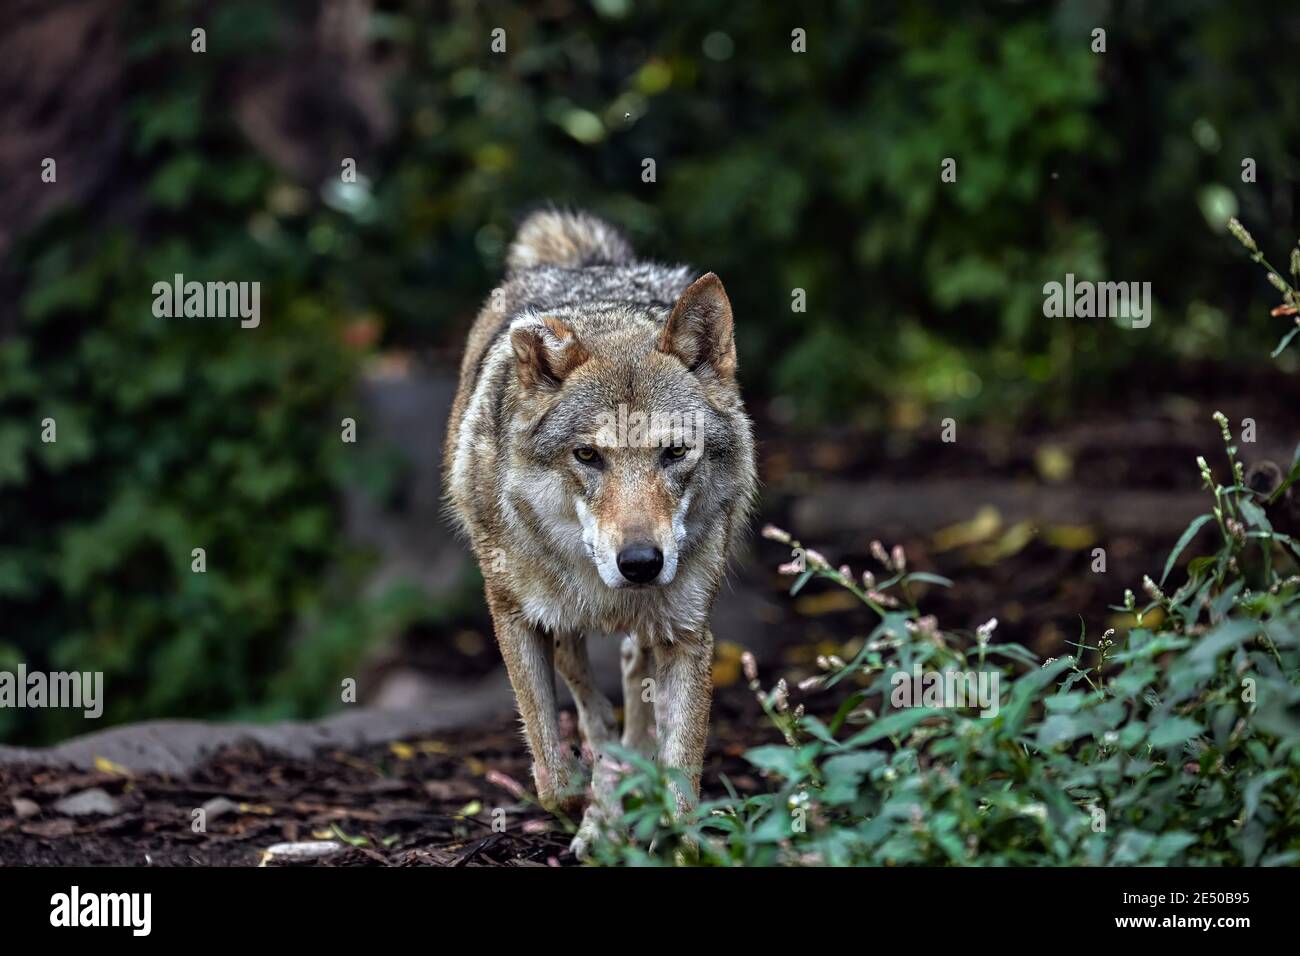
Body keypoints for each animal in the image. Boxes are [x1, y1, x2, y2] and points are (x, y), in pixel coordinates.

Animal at [444, 209, 759, 858]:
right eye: (588, 455)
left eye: (674, 453)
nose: (640, 562)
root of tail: (590, 265)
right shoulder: (514, 617)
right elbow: (553, 775)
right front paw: (587, 811)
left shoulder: (689, 635)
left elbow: (684, 785)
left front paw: (669, 837)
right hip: (563, 630)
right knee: (592, 712)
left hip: (649, 628)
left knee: (634, 685)